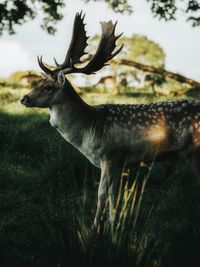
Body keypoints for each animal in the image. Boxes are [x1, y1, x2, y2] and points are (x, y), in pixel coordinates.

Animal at [21, 12, 200, 230]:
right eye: (38, 81)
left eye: (48, 87)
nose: (24, 98)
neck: (87, 130)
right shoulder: (118, 162)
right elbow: (115, 194)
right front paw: (112, 225)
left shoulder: (108, 155)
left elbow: (101, 194)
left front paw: (94, 228)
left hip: (195, 152)